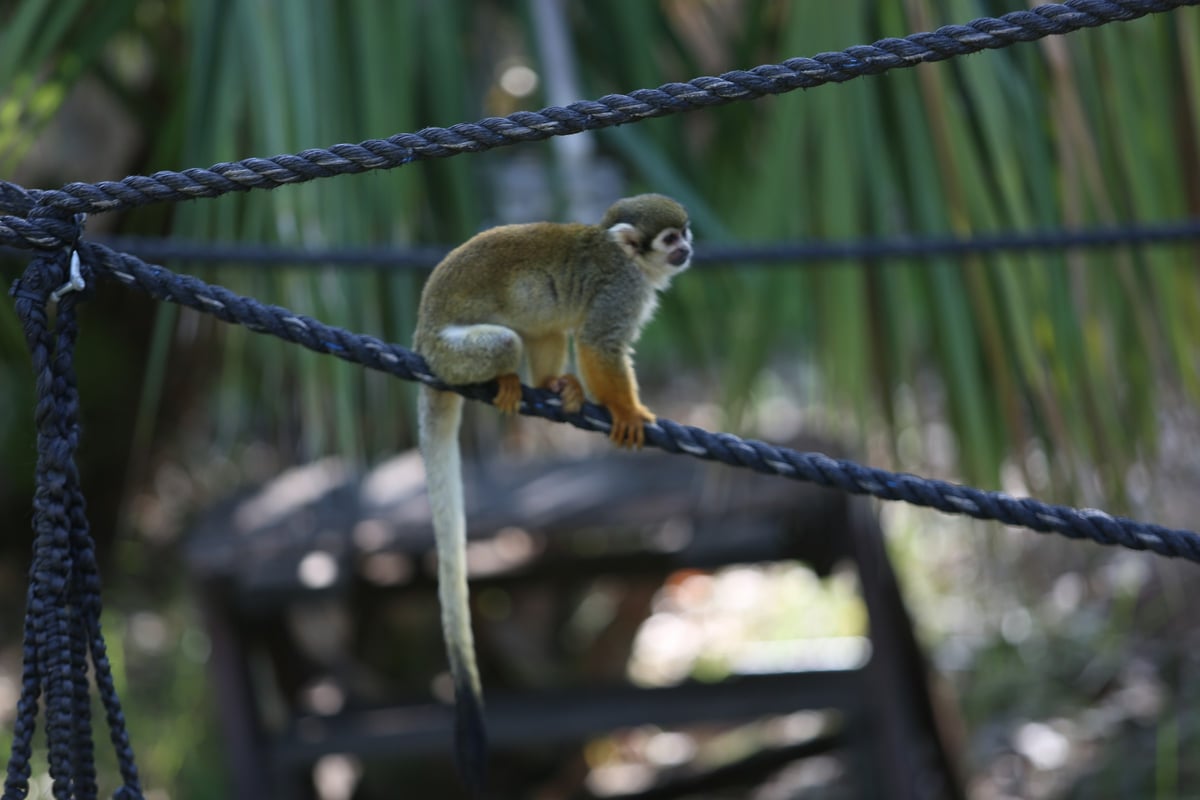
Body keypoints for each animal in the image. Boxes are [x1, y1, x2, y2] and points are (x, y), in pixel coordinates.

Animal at [412, 191, 696, 786]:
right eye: (669, 239)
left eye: (685, 234)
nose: (687, 249)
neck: (629, 259)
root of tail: (422, 339)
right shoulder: (621, 290)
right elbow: (598, 344)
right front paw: (629, 412)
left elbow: (561, 334)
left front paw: (568, 387)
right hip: (453, 354)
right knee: (504, 340)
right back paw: (504, 378)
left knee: (540, 330)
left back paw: (548, 386)